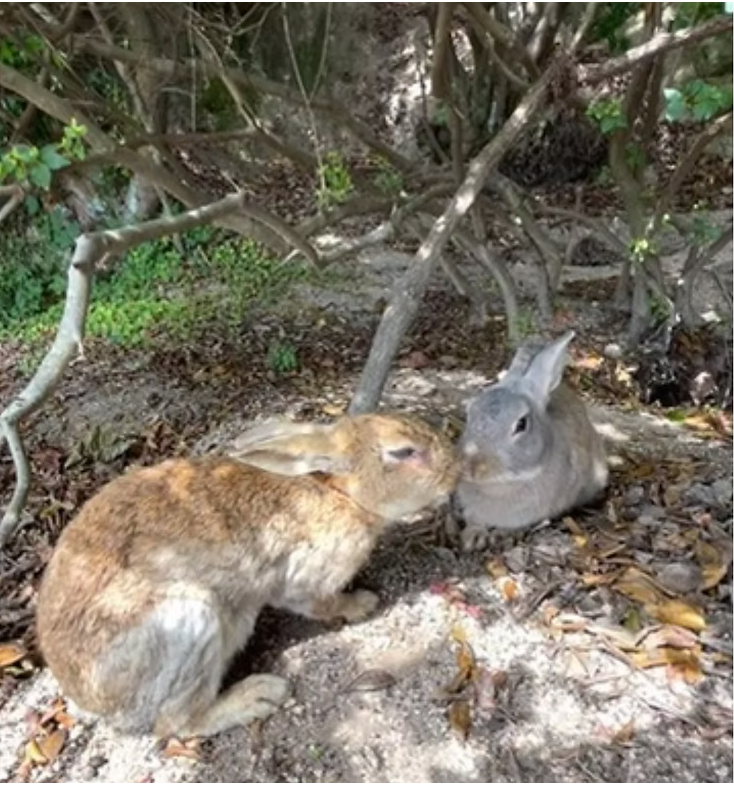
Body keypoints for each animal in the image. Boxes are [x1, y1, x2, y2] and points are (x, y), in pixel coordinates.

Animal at [36, 412, 459, 739]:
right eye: (403, 452)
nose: (455, 471)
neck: (340, 493)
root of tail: (93, 703)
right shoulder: (306, 579)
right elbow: (320, 602)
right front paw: (362, 603)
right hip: (188, 621)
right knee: (176, 725)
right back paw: (258, 695)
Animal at [454, 331, 608, 551]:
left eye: (521, 424)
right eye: (469, 413)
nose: (472, 466)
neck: (503, 483)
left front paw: (502, 535)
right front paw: (473, 537)